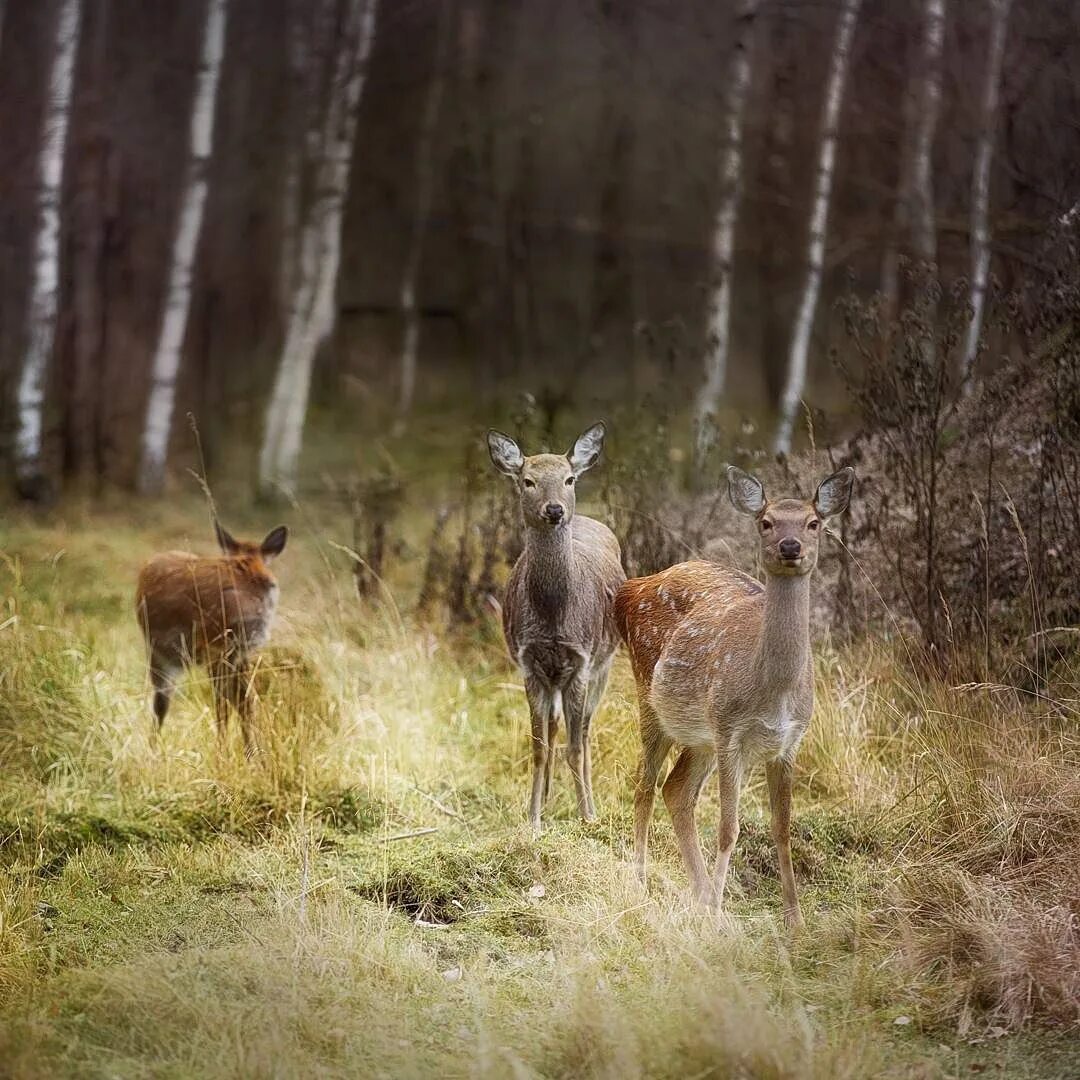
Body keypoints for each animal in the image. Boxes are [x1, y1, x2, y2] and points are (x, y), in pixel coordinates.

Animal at [488, 421, 630, 825]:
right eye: (528, 480)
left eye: (569, 478)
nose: (554, 509)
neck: (553, 618)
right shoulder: (529, 662)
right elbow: (538, 747)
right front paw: (533, 818)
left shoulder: (581, 660)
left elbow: (576, 747)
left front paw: (587, 816)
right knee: (553, 729)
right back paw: (549, 798)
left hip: (604, 665)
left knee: (585, 732)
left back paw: (590, 802)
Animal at [617, 464, 851, 928]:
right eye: (766, 522)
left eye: (814, 523)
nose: (790, 546)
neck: (772, 692)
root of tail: (630, 589)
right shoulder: (730, 733)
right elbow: (729, 828)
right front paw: (718, 918)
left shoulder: (788, 743)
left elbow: (782, 828)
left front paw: (795, 918)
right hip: (652, 699)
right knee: (645, 785)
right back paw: (642, 884)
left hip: (700, 734)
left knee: (676, 790)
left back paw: (701, 893)